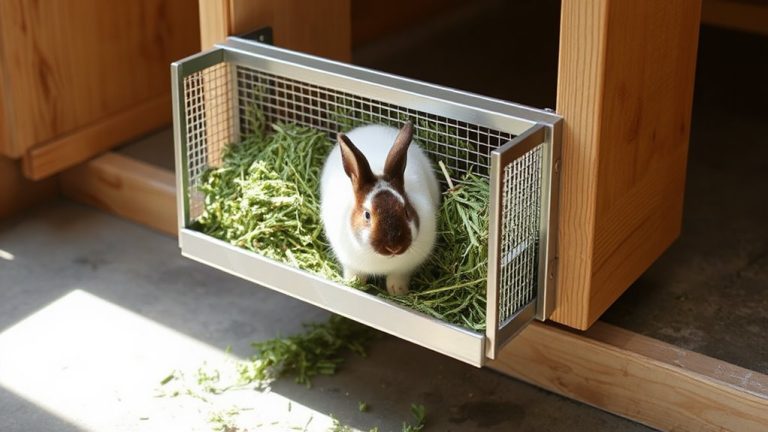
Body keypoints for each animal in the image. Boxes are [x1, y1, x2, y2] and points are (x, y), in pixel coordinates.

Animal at [320, 121, 441, 295]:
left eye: (406, 211)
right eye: (367, 215)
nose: (394, 247)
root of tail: (371, 126)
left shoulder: (404, 269)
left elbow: (398, 276)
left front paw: (398, 291)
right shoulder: (350, 263)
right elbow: (354, 273)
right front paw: (354, 283)